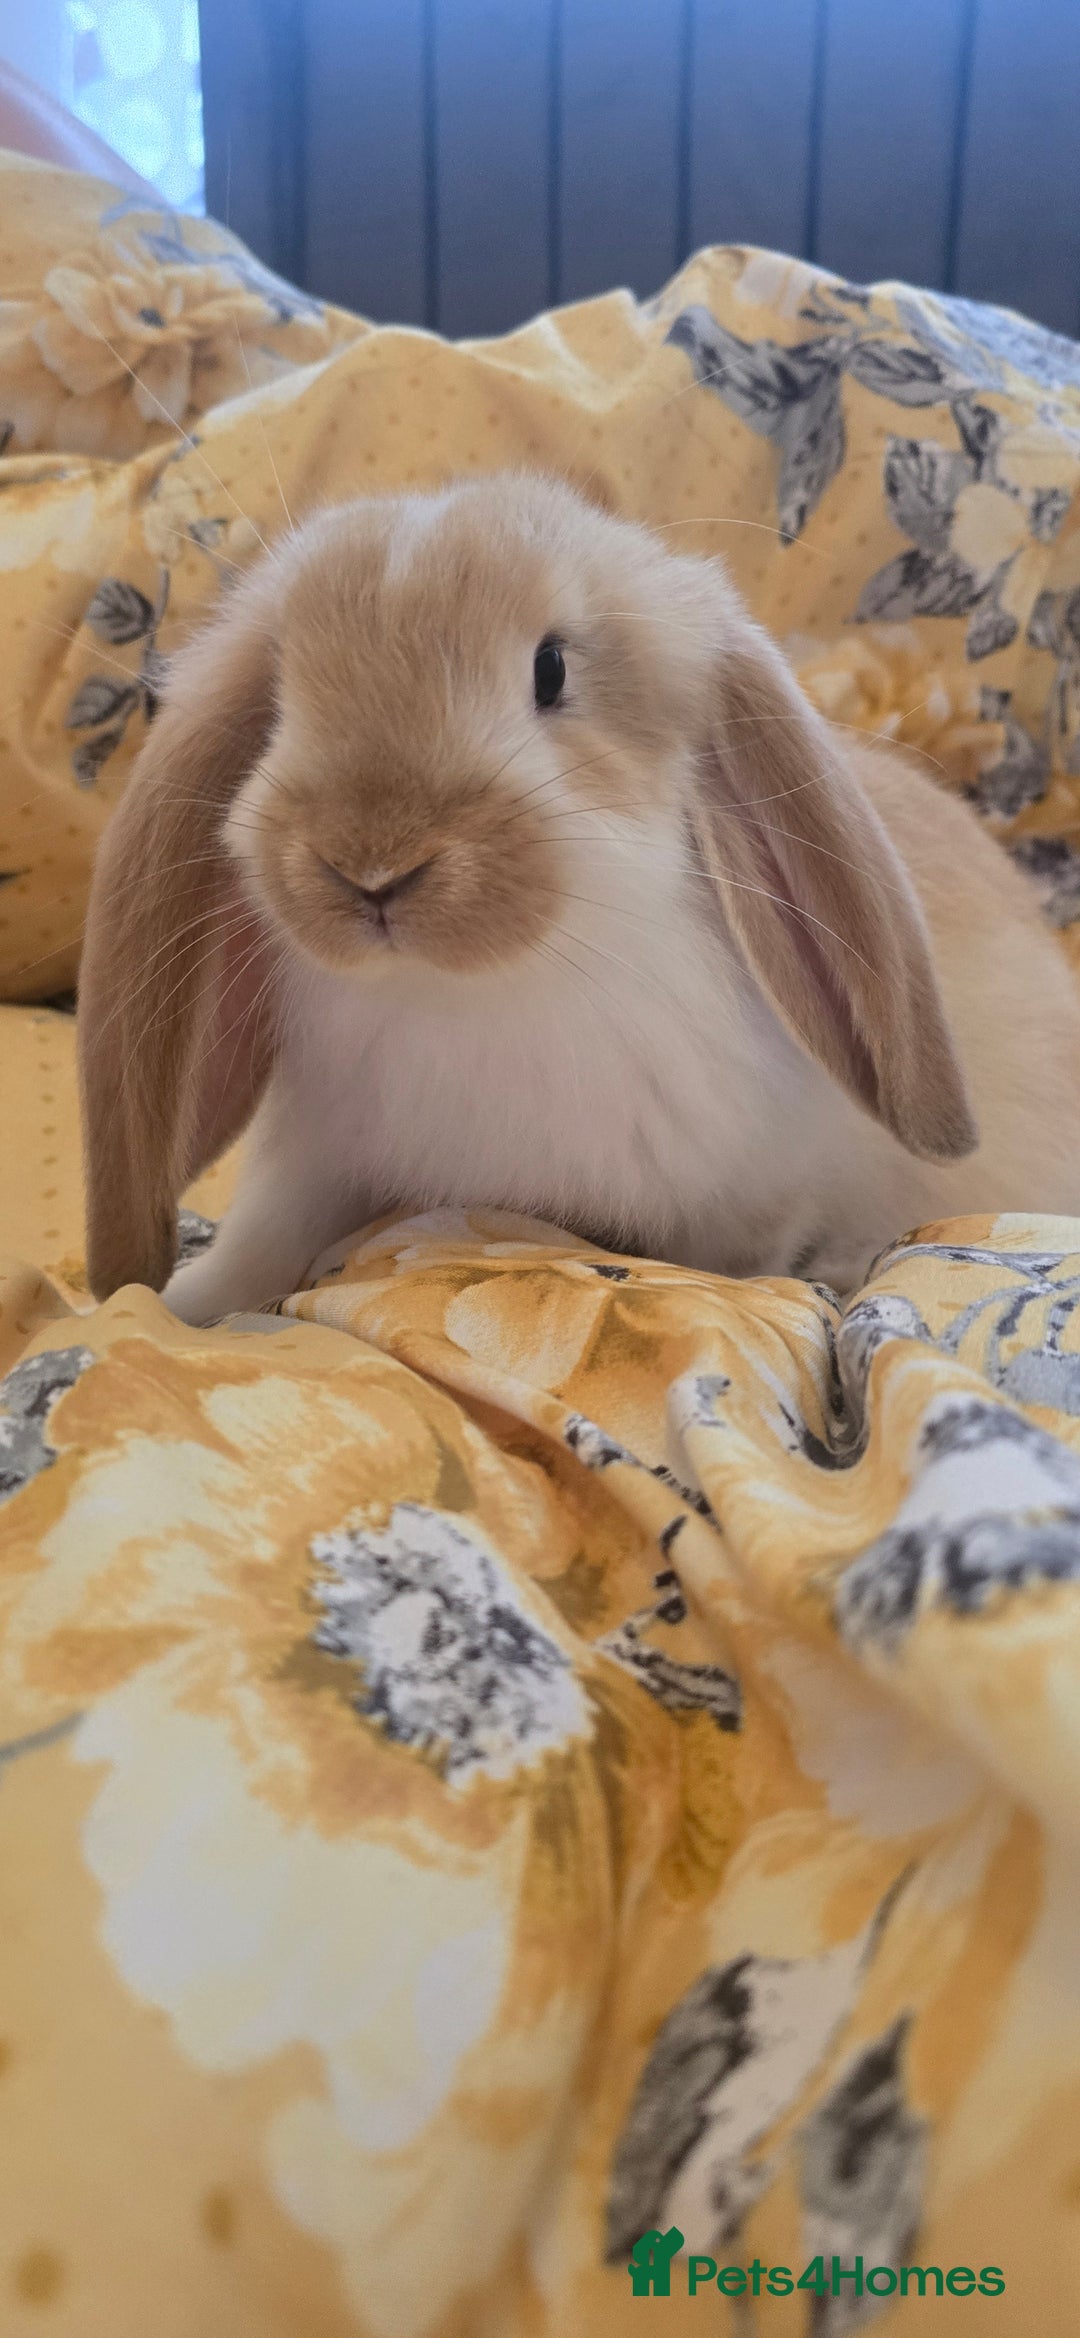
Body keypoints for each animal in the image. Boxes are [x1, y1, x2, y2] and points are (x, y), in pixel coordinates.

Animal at [77, 470, 1080, 1326]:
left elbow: (733, 1263)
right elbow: (258, 1245)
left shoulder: (758, 1195)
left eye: (551, 671)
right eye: (281, 699)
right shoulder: (316, 1163)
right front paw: (175, 1310)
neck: (466, 999)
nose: (371, 863)